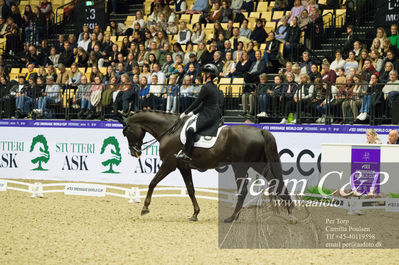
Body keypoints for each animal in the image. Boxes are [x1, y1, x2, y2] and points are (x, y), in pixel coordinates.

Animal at [117, 110, 296, 222]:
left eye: (125, 132)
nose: (134, 152)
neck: (170, 130)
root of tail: (260, 131)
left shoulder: (169, 164)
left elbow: (152, 182)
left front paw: (145, 207)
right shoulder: (184, 167)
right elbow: (190, 189)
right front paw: (195, 214)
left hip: (240, 167)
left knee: (244, 190)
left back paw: (232, 218)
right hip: (258, 165)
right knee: (277, 183)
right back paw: (291, 214)